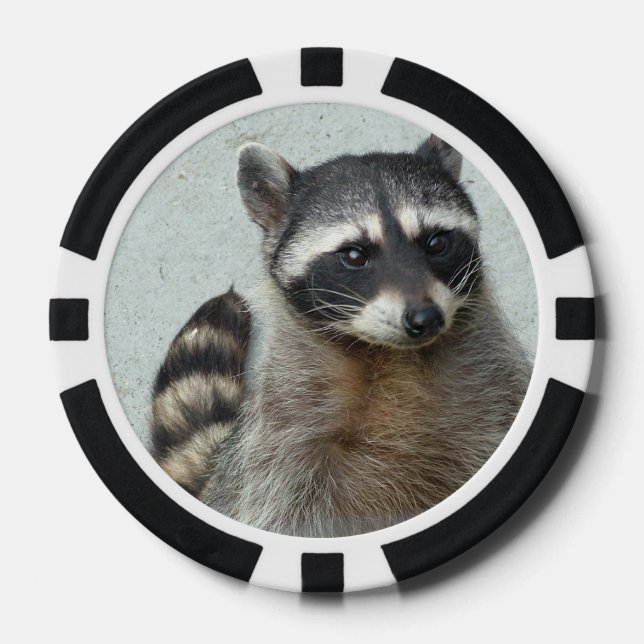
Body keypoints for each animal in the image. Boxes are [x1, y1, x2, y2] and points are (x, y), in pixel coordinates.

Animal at [150, 135, 531, 537]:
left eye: (436, 243)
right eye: (354, 254)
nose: (425, 318)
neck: (388, 354)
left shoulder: (494, 390)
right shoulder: (282, 442)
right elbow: (285, 510)